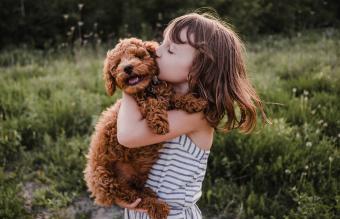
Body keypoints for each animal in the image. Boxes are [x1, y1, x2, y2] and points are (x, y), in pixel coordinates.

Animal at [84, 37, 207, 219]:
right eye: (117, 64)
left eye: (138, 56)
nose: (127, 68)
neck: (147, 89)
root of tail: (98, 193)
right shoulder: (140, 106)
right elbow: (152, 103)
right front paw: (159, 122)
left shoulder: (164, 95)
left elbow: (174, 97)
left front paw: (195, 102)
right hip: (105, 178)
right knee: (133, 197)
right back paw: (158, 206)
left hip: (135, 175)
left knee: (137, 190)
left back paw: (150, 193)